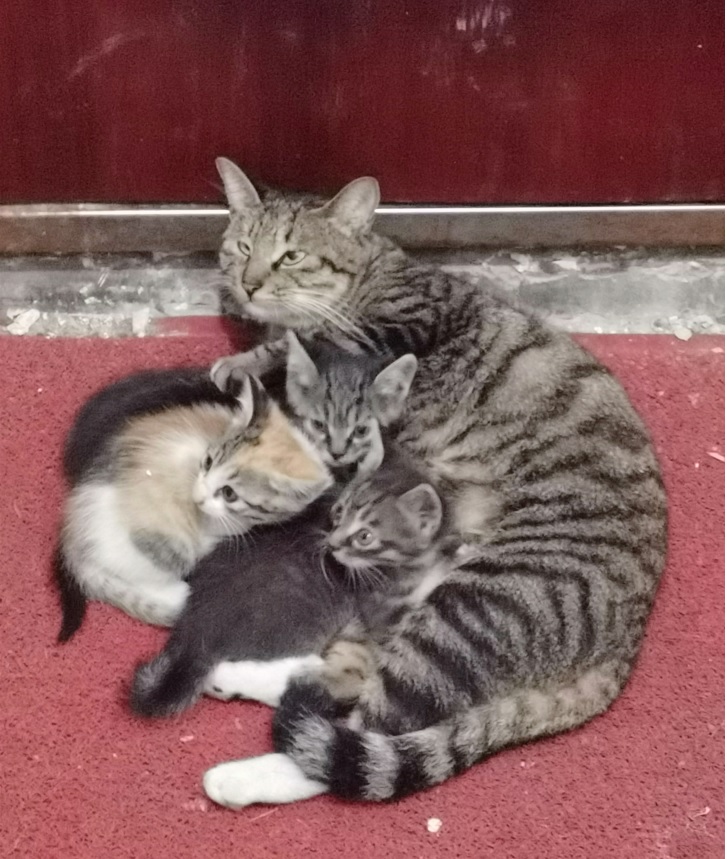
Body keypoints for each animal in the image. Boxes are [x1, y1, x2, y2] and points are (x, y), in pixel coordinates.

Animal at [199, 159, 668, 809]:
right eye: (243, 246)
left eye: (292, 256)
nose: (247, 284)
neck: (377, 271)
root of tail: (621, 652)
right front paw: (248, 357)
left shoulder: (385, 338)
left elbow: (308, 357)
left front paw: (265, 364)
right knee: (352, 676)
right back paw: (237, 674)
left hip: (473, 607)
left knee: (359, 731)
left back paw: (241, 775)